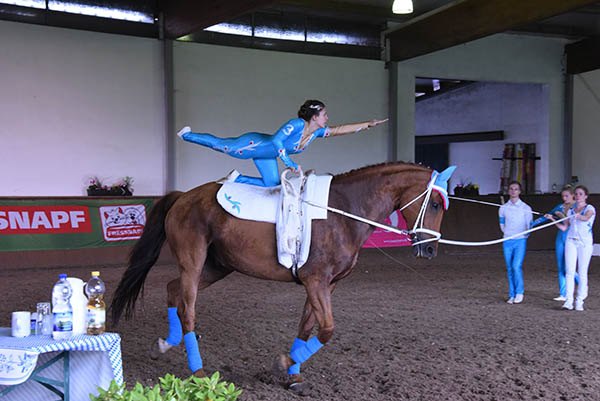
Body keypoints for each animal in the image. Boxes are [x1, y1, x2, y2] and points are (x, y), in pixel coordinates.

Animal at [111, 161, 450, 390]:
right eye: (434, 203)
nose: (430, 249)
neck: (343, 212)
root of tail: (183, 196)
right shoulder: (316, 281)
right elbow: (327, 330)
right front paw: (282, 364)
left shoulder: (326, 285)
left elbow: (307, 326)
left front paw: (294, 375)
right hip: (193, 261)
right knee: (188, 308)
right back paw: (198, 372)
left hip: (217, 267)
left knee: (172, 290)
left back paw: (163, 346)